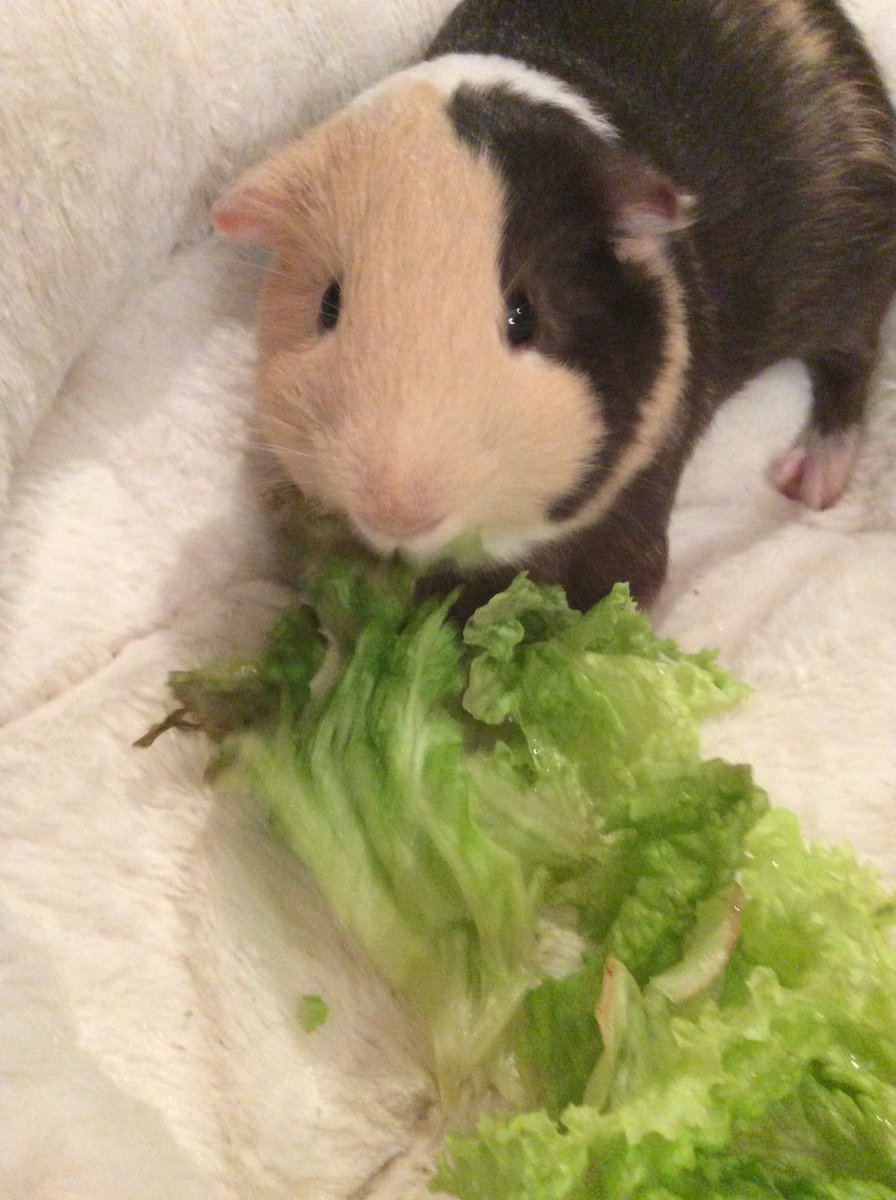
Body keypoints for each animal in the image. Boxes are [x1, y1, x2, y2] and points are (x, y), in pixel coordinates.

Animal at [214, 0, 896, 614]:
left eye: (525, 315)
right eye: (329, 305)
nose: (398, 507)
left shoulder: (634, 511)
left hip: (850, 283)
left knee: (851, 368)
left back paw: (809, 482)